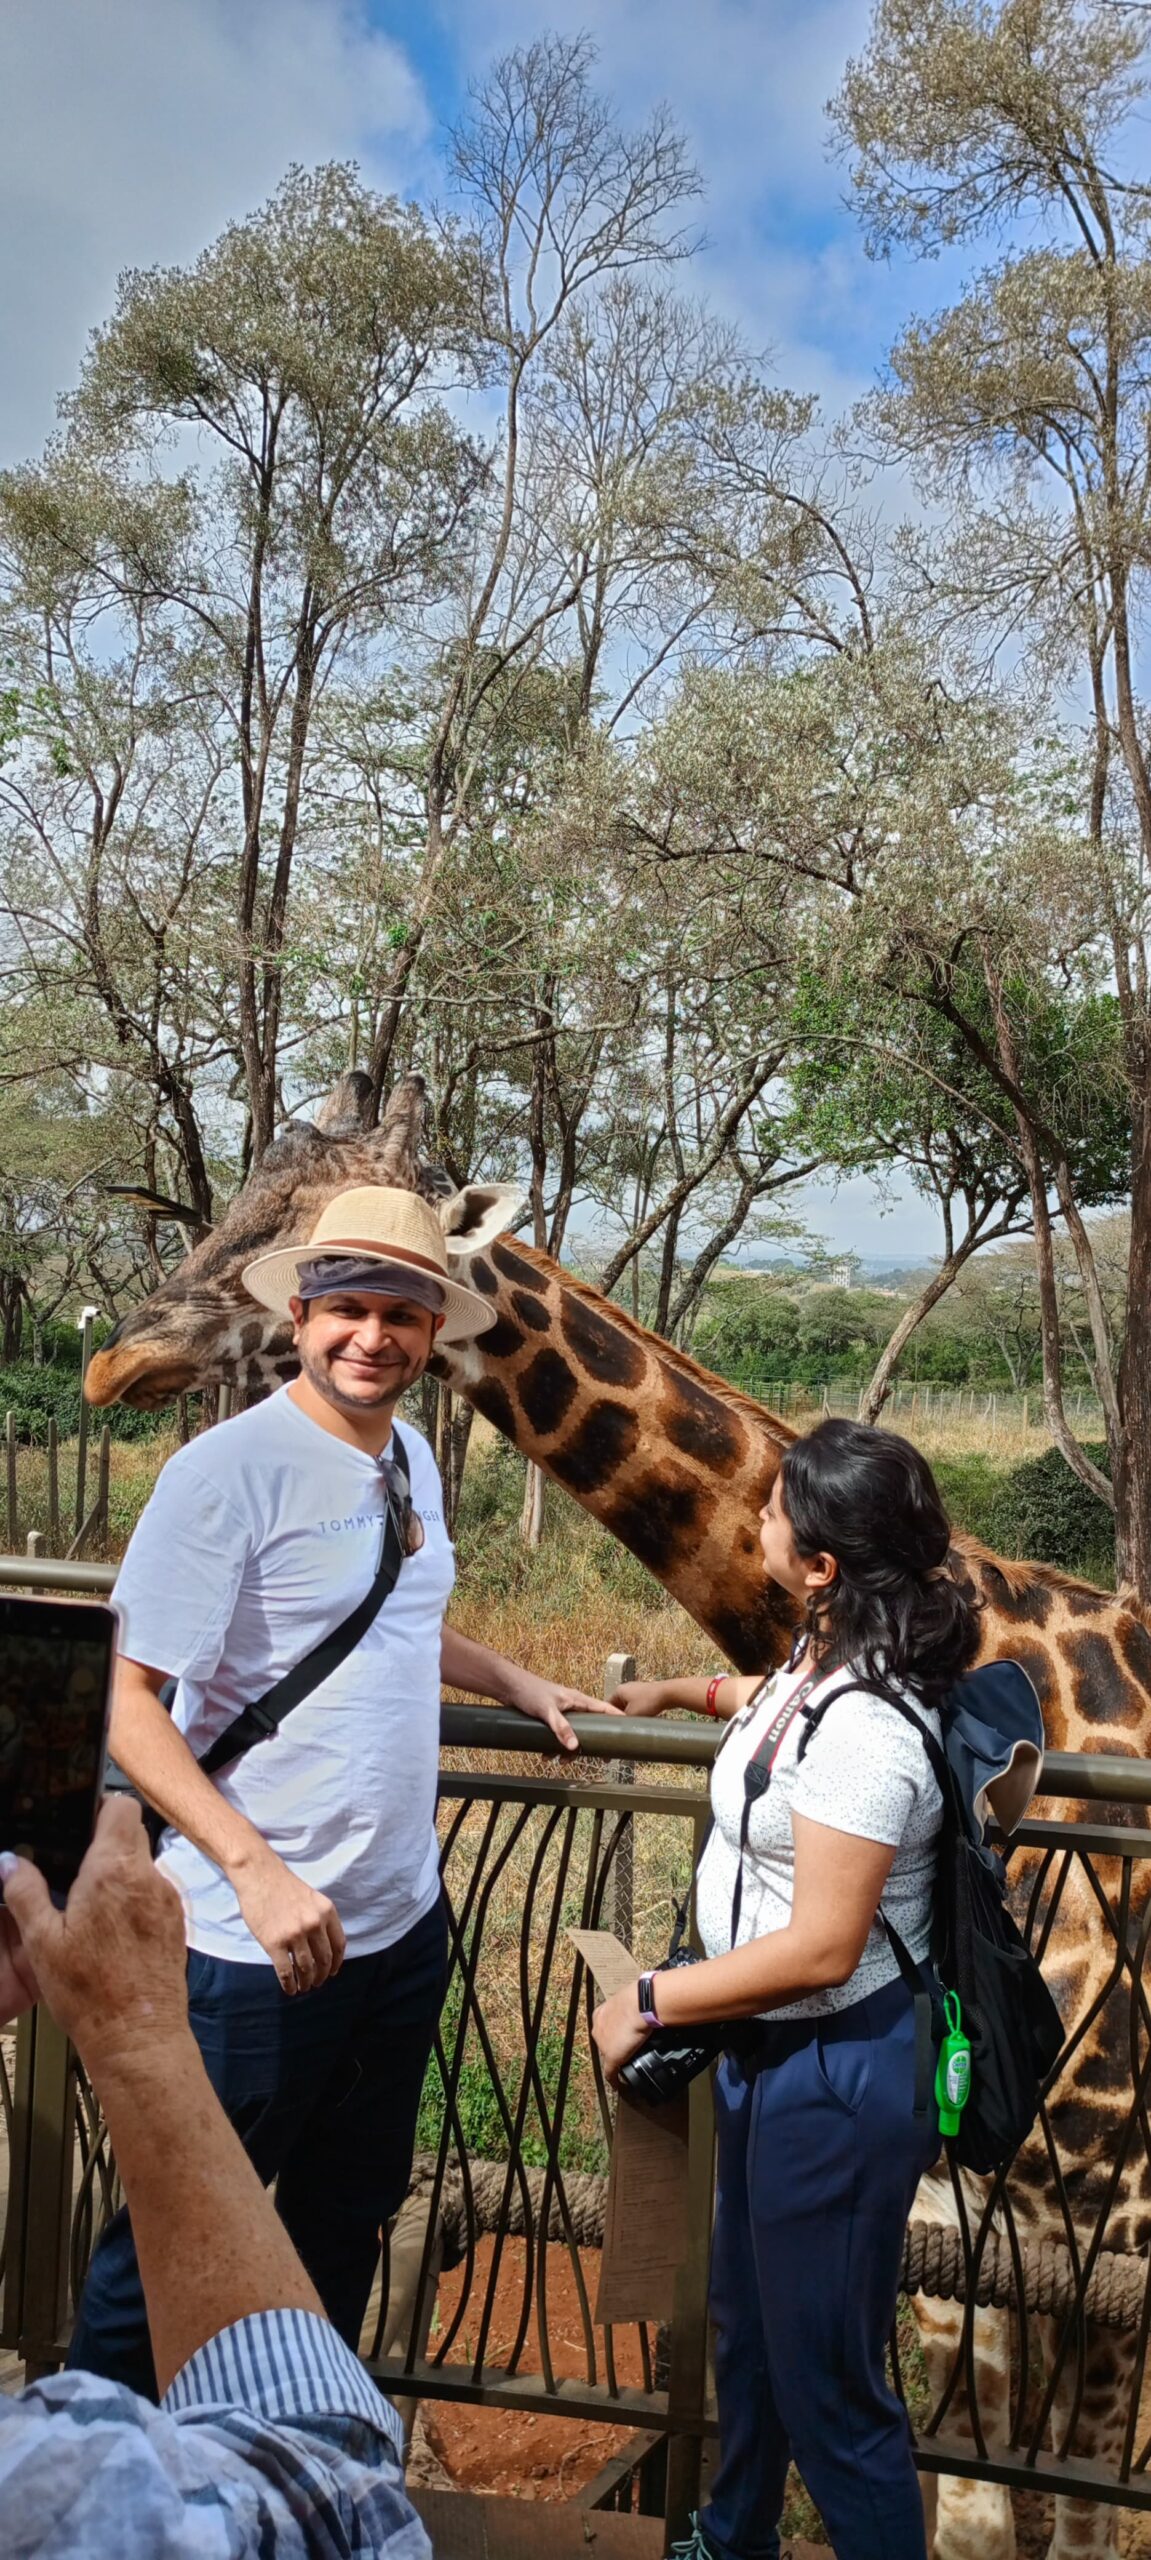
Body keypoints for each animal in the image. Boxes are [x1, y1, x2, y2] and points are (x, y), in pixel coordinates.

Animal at [84, 1074, 1151, 2560]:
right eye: (246, 1203)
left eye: (312, 1237)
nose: (111, 1365)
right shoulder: (967, 2182)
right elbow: (979, 2509)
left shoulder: (1102, 2196)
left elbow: (1046, 2506)